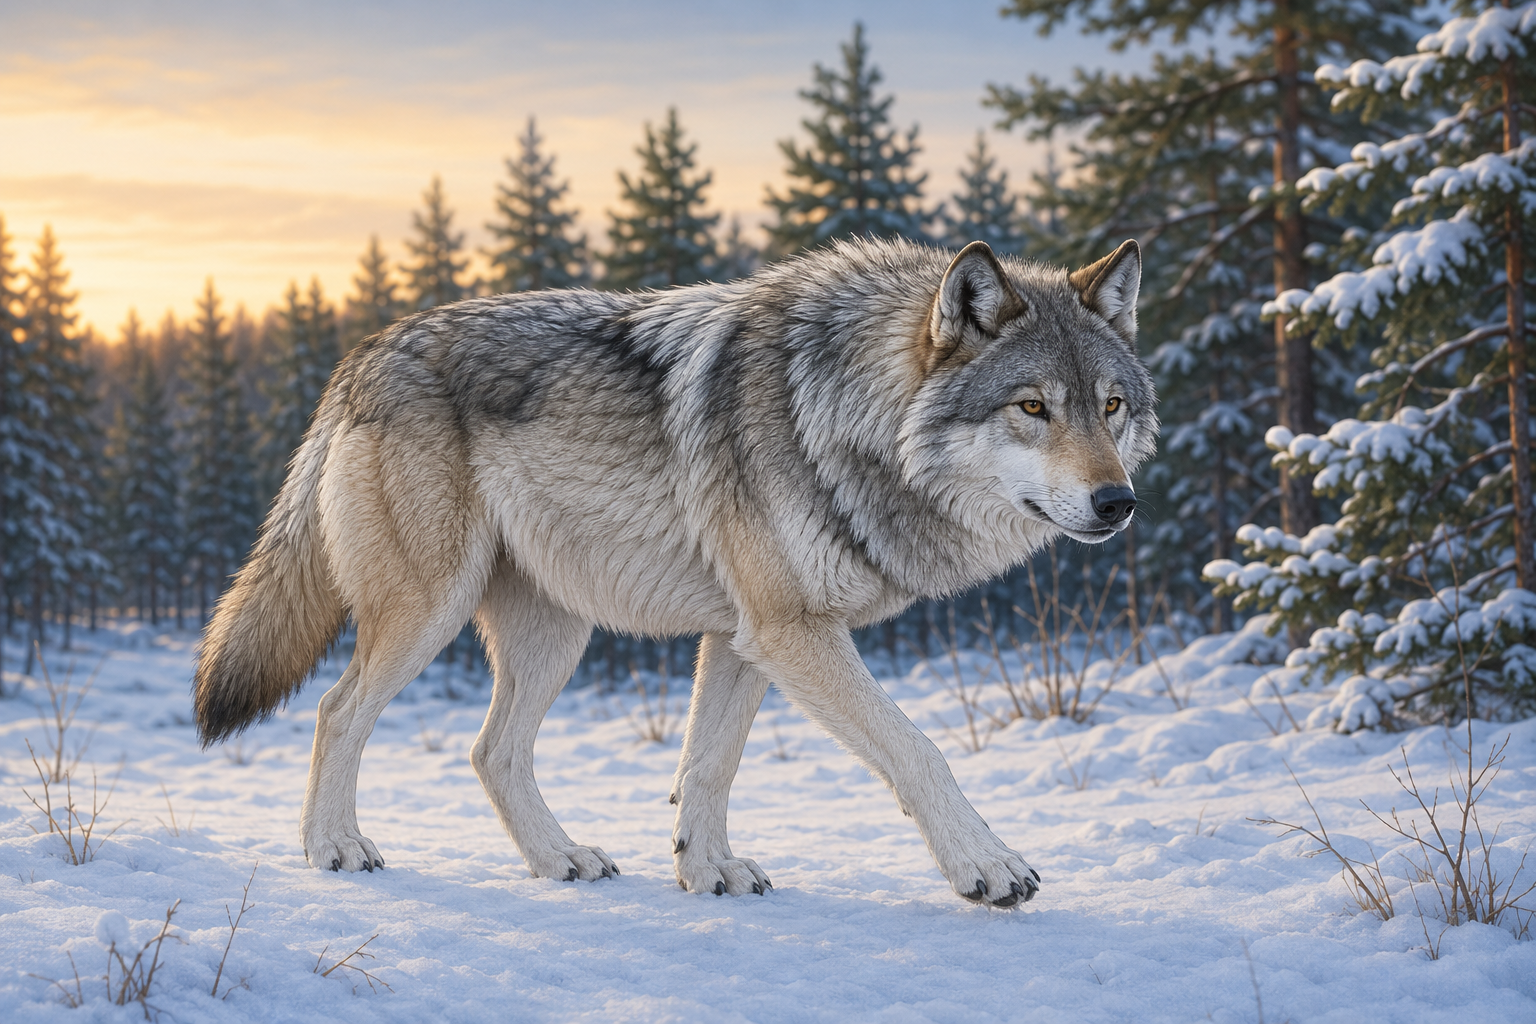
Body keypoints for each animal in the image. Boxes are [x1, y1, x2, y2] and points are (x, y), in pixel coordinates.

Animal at [194, 236, 1155, 908]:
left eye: (1110, 406)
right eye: (1033, 407)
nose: (1118, 502)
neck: (843, 416)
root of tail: (362, 352)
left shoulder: (742, 637)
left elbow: (707, 766)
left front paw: (707, 873)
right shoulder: (793, 632)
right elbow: (919, 751)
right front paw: (989, 867)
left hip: (557, 634)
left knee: (490, 750)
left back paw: (560, 859)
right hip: (429, 611)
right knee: (336, 710)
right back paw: (334, 850)